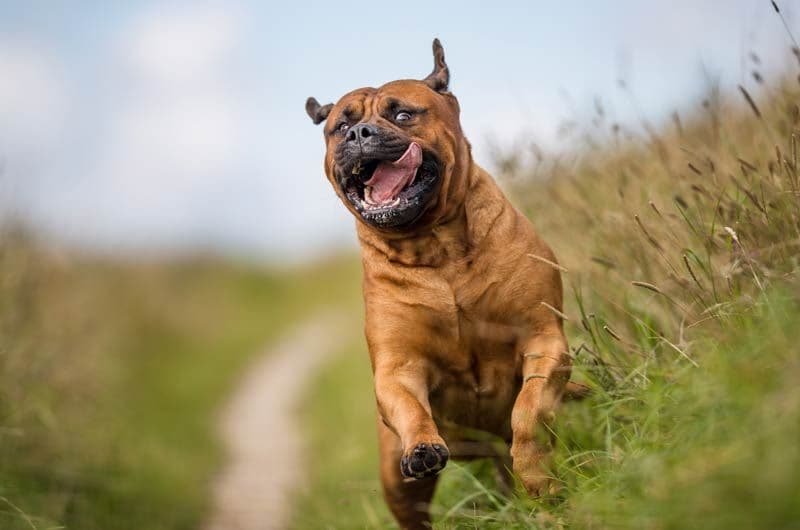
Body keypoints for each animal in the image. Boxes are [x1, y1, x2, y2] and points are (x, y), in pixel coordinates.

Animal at [308, 39, 580, 524]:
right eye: (342, 126)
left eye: (402, 115)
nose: (359, 135)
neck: (437, 249)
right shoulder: (398, 367)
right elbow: (410, 406)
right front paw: (422, 445)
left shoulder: (544, 337)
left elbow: (528, 412)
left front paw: (538, 478)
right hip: (396, 482)